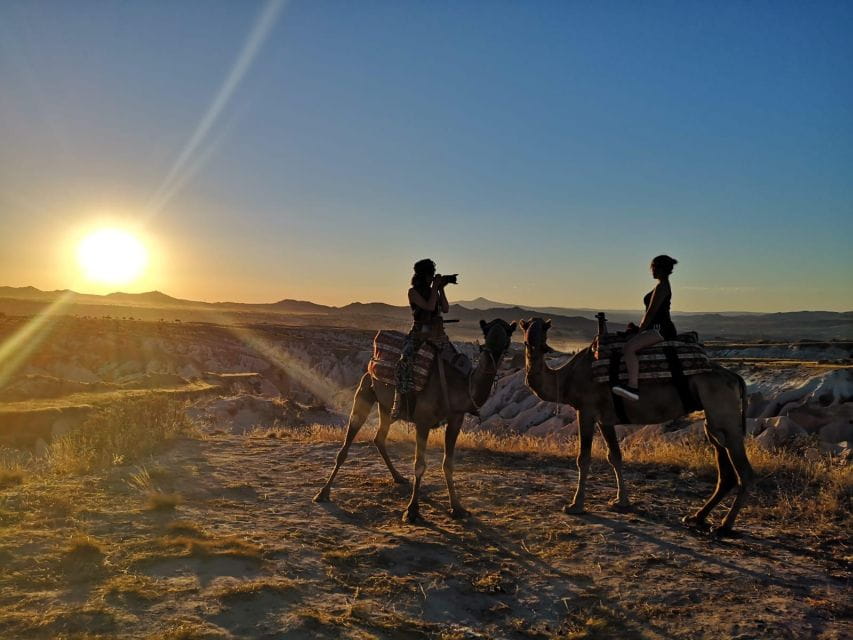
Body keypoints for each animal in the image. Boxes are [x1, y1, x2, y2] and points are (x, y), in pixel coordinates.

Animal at [314, 319, 517, 523]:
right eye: (486, 332)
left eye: (508, 335)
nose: (493, 354)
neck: (461, 386)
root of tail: (372, 361)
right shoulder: (423, 420)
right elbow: (419, 464)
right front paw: (411, 510)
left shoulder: (455, 420)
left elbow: (448, 464)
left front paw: (457, 508)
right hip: (365, 391)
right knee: (347, 443)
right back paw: (323, 493)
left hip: (386, 407)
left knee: (379, 438)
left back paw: (398, 477)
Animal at [520, 317, 753, 536]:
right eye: (526, 327)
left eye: (545, 329)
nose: (533, 343)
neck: (566, 378)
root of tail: (736, 378)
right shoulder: (605, 418)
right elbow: (614, 456)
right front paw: (621, 502)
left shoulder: (586, 410)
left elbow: (583, 458)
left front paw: (575, 505)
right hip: (713, 419)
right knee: (724, 465)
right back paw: (696, 517)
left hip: (724, 413)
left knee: (744, 470)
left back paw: (724, 526)